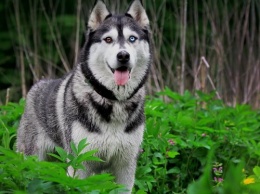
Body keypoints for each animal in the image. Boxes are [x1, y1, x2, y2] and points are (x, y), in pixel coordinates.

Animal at [16, 0, 150, 192]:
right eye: (108, 39)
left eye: (132, 38)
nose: (123, 55)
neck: (113, 101)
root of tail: (36, 86)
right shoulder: (79, 163)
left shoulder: (125, 166)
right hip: (33, 159)